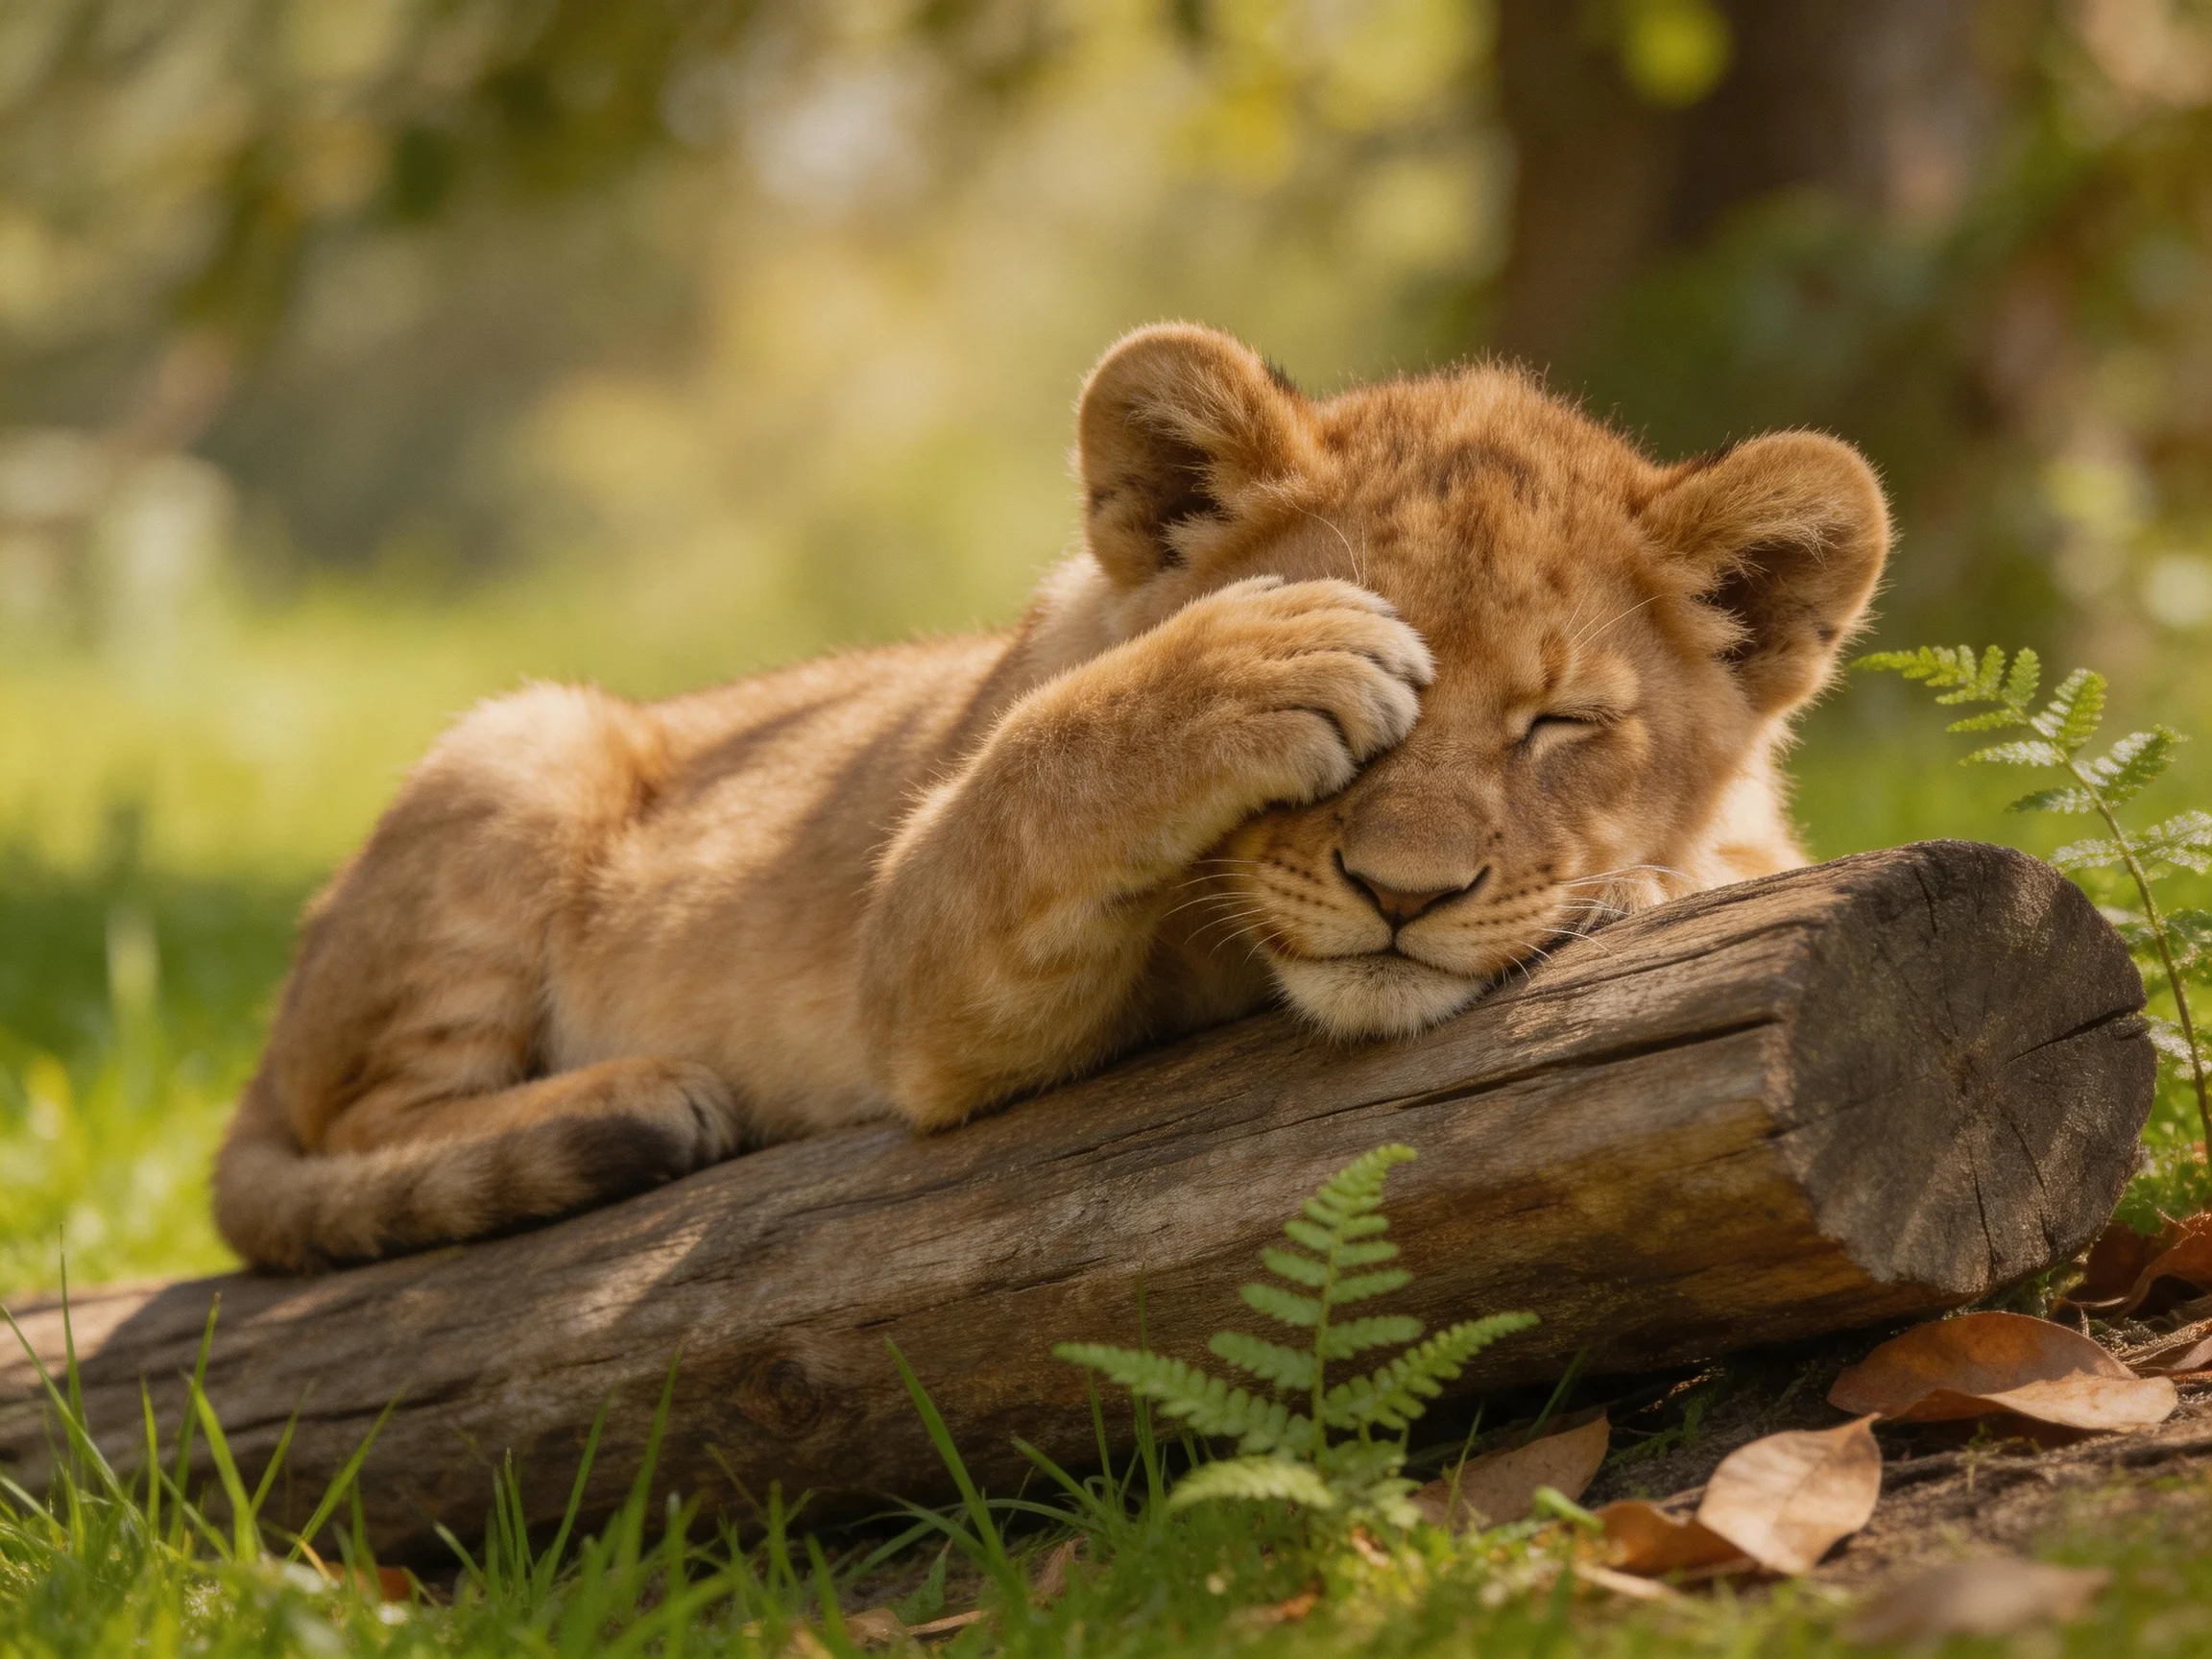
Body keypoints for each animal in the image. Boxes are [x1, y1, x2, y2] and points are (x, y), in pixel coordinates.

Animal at [213, 323, 1889, 1270]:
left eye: (1559, 724)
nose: (1403, 897)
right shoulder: (920, 982)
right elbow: (1034, 772)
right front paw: (1247, 665)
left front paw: (1654, 883)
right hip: (525, 740)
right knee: (370, 1120)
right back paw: (634, 1099)